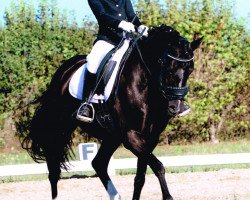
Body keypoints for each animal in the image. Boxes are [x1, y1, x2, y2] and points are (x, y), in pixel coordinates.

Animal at [20, 25, 202, 200]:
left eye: (190, 69)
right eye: (166, 65)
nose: (175, 106)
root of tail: (64, 71)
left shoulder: (150, 138)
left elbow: (140, 177)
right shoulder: (130, 136)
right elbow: (158, 166)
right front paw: (168, 196)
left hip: (111, 136)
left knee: (98, 163)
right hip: (60, 128)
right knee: (54, 167)